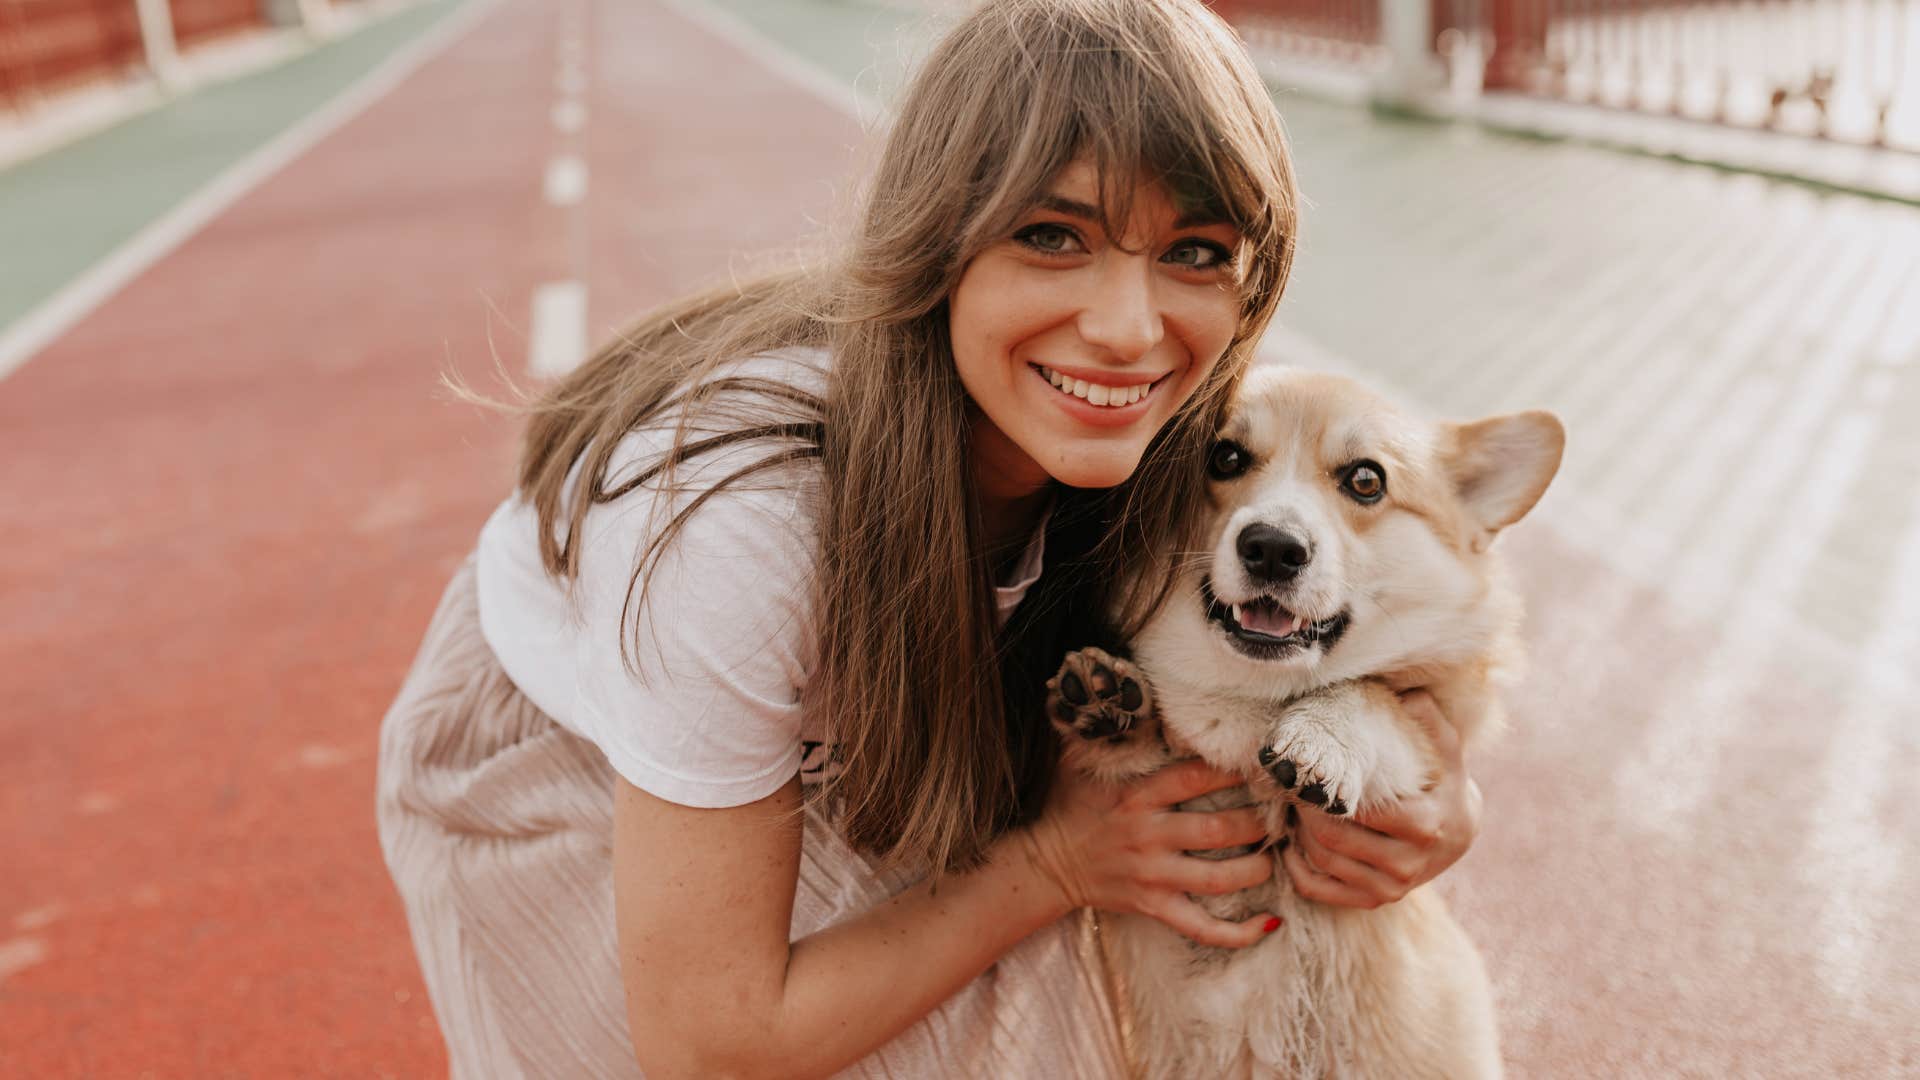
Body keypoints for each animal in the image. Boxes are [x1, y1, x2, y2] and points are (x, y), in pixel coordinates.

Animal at [1052, 365, 1559, 1068]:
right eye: (1224, 457)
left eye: (1366, 480)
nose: (1272, 548)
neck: (1251, 702)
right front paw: (1111, 708)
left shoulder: (1430, 723)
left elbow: (1367, 694)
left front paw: (1322, 738)